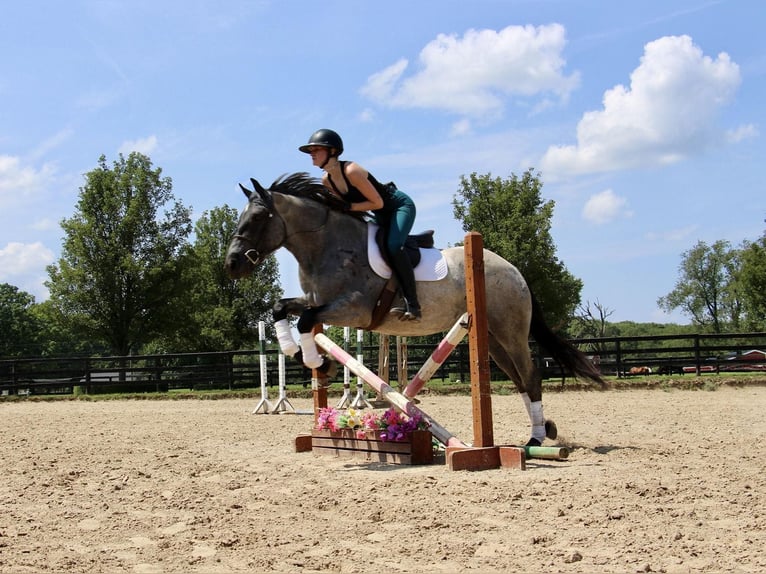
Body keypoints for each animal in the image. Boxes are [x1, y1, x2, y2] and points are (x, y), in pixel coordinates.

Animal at [224, 173, 608, 448]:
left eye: (257, 218)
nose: (231, 265)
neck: (325, 244)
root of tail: (512, 269)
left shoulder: (352, 310)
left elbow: (305, 319)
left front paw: (321, 363)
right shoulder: (319, 302)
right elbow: (282, 308)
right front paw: (310, 359)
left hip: (510, 332)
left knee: (530, 375)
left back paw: (536, 438)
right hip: (493, 339)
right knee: (518, 379)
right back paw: (543, 430)